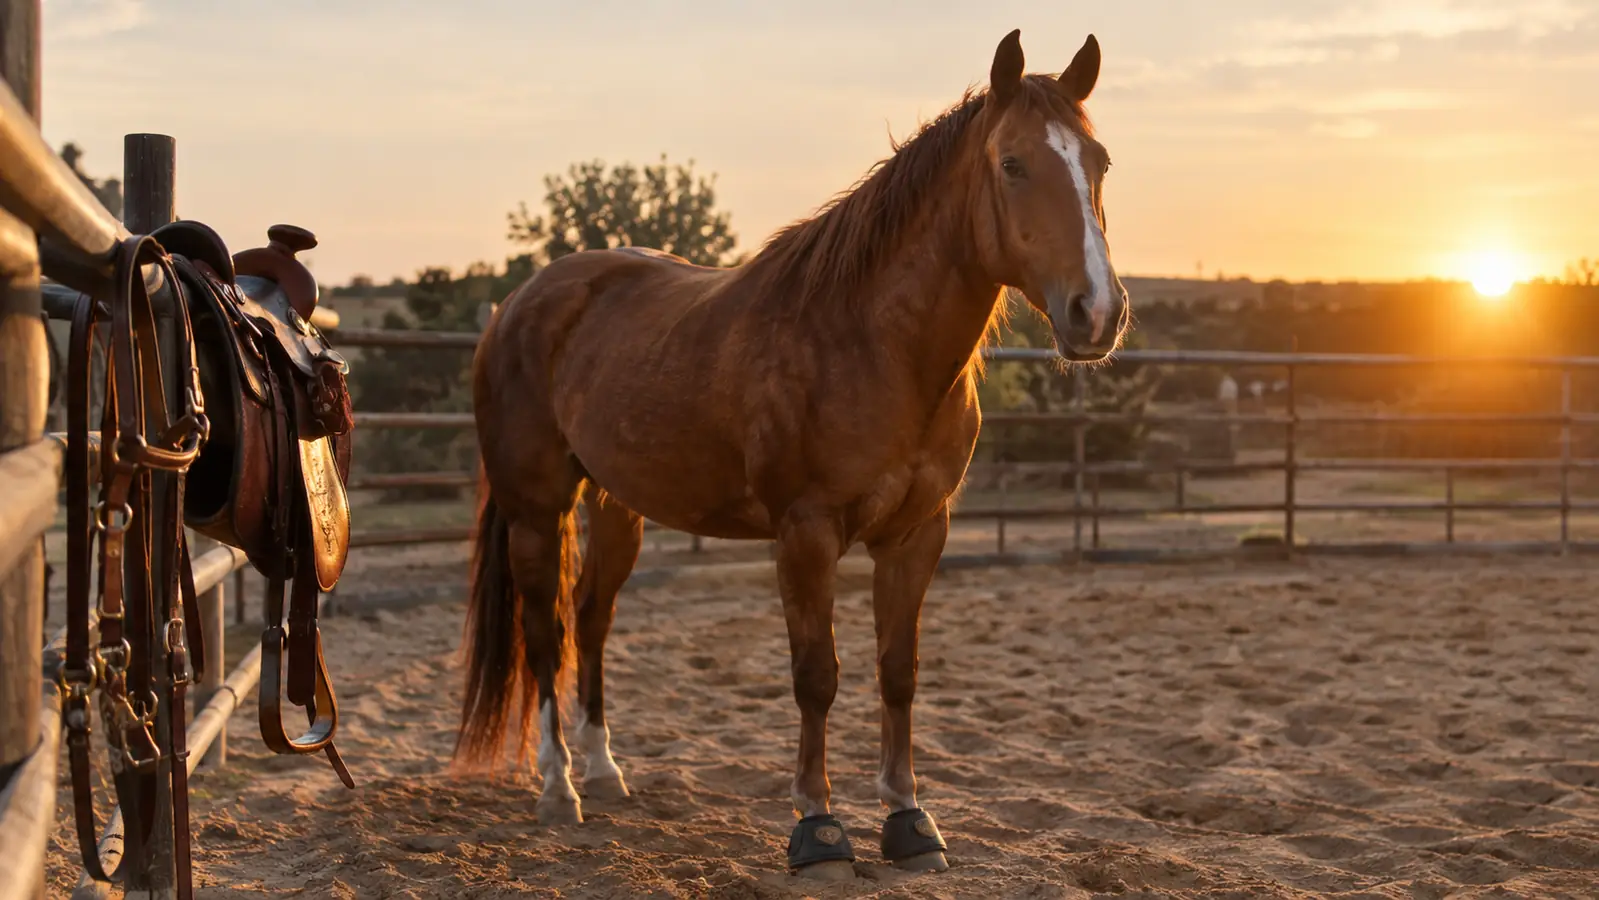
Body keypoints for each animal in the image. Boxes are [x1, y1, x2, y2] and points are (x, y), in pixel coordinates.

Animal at [454, 28, 1129, 879]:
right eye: (1012, 164)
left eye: (1099, 161)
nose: (1096, 312)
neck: (873, 345)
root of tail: (520, 303)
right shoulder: (805, 534)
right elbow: (816, 677)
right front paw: (818, 827)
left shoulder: (918, 534)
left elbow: (897, 671)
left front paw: (909, 821)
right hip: (536, 509)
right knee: (545, 628)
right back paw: (558, 788)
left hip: (616, 507)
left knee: (591, 617)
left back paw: (605, 773)